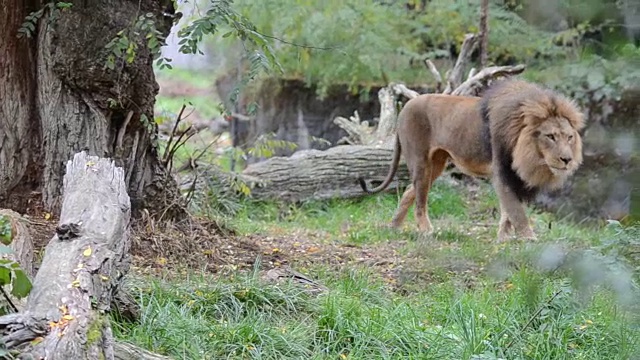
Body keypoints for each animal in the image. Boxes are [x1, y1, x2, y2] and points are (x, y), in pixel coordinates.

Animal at [360, 79, 584, 242]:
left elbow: (507, 211)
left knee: (409, 191)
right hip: (421, 161)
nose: (567, 159)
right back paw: (427, 231)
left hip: (436, 164)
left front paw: (504, 238)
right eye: (551, 136)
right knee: (420, 202)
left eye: (569, 137)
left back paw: (394, 226)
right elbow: (516, 210)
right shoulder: (502, 171)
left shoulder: (512, 176)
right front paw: (529, 239)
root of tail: (405, 107)